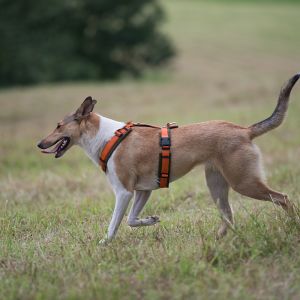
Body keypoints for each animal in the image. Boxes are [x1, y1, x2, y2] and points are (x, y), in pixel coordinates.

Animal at [38, 73, 300, 244]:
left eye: (58, 125)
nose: (39, 144)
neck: (106, 137)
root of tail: (245, 130)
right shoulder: (143, 191)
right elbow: (132, 220)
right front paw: (151, 220)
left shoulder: (124, 192)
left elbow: (114, 224)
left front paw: (104, 243)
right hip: (216, 184)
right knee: (229, 216)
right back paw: (218, 240)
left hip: (243, 181)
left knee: (283, 198)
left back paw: (291, 225)